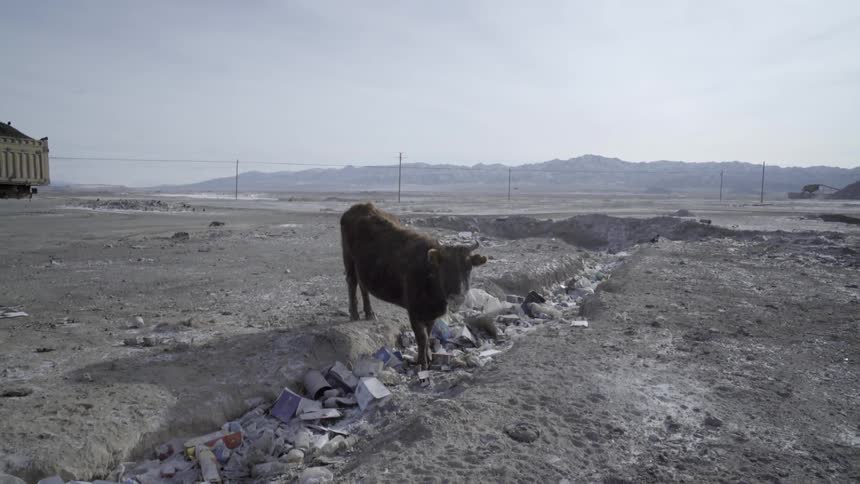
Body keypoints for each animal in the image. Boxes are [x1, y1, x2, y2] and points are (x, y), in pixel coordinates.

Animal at [340, 202, 487, 369]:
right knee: (352, 282)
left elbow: (428, 334)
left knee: (363, 286)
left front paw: (428, 356)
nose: (458, 297)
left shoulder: (431, 315)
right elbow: (421, 337)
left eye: (468, 267)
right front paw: (422, 362)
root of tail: (360, 206)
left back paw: (370, 313)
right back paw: (354, 314)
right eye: (445, 267)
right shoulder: (414, 312)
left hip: (362, 268)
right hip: (349, 259)